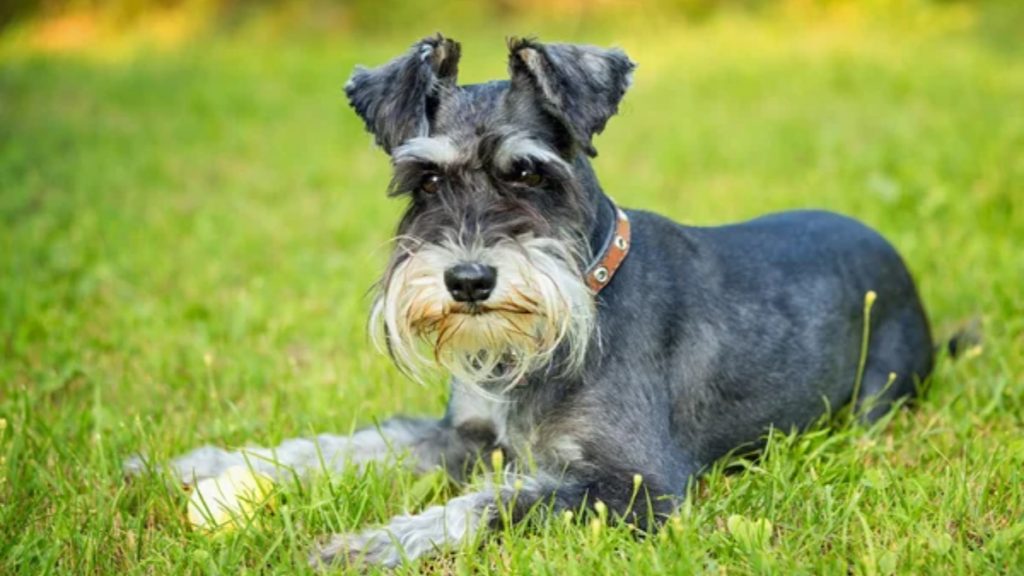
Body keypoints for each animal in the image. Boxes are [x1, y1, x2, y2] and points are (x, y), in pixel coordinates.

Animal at [134, 35, 937, 569]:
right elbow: (349, 444)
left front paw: (372, 543)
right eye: (425, 181)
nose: (467, 281)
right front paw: (204, 463)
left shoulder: (637, 488)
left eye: (528, 173)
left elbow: (492, 502)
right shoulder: (462, 435)